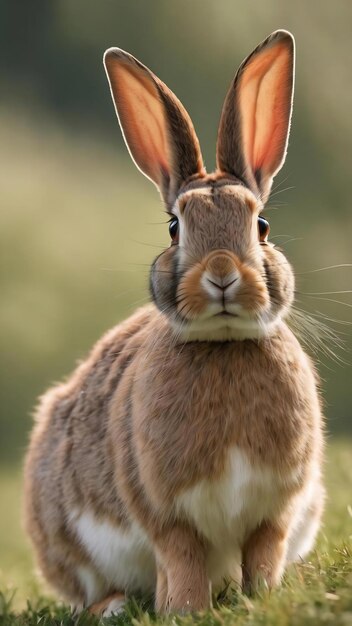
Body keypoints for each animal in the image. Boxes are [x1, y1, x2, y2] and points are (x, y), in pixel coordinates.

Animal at [23, 30, 324, 616]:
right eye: (173, 228)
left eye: (261, 224)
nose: (222, 274)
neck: (225, 343)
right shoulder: (165, 510)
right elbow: (181, 557)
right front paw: (185, 610)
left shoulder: (276, 511)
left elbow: (263, 555)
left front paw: (263, 598)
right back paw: (114, 607)